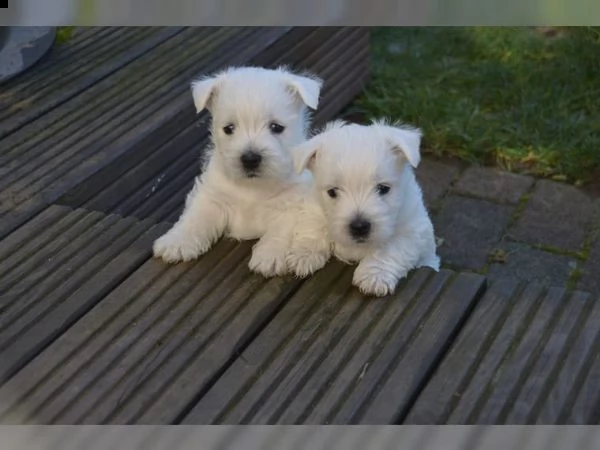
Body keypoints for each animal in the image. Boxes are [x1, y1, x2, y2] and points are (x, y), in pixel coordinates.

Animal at [150, 66, 328, 278]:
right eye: (229, 128)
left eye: (276, 127)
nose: (250, 159)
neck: (252, 187)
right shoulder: (212, 197)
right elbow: (196, 218)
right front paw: (176, 242)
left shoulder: (293, 203)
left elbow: (281, 229)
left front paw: (270, 256)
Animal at [292, 118, 438, 298]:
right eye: (332, 192)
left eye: (383, 188)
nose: (359, 227)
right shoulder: (314, 206)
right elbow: (313, 226)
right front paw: (303, 254)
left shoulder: (412, 230)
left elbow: (389, 248)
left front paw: (375, 276)